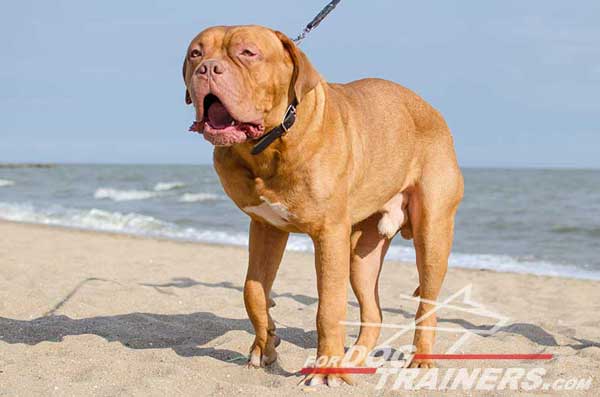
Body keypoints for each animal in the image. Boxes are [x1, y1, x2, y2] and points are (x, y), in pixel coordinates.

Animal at [182, 24, 464, 384]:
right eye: (196, 53)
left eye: (248, 53)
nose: (207, 69)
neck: (270, 145)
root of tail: (432, 110)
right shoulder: (266, 228)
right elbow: (253, 291)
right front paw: (265, 344)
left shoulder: (329, 234)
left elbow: (328, 307)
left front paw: (326, 367)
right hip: (361, 254)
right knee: (373, 309)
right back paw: (354, 358)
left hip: (432, 233)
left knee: (427, 303)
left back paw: (419, 358)